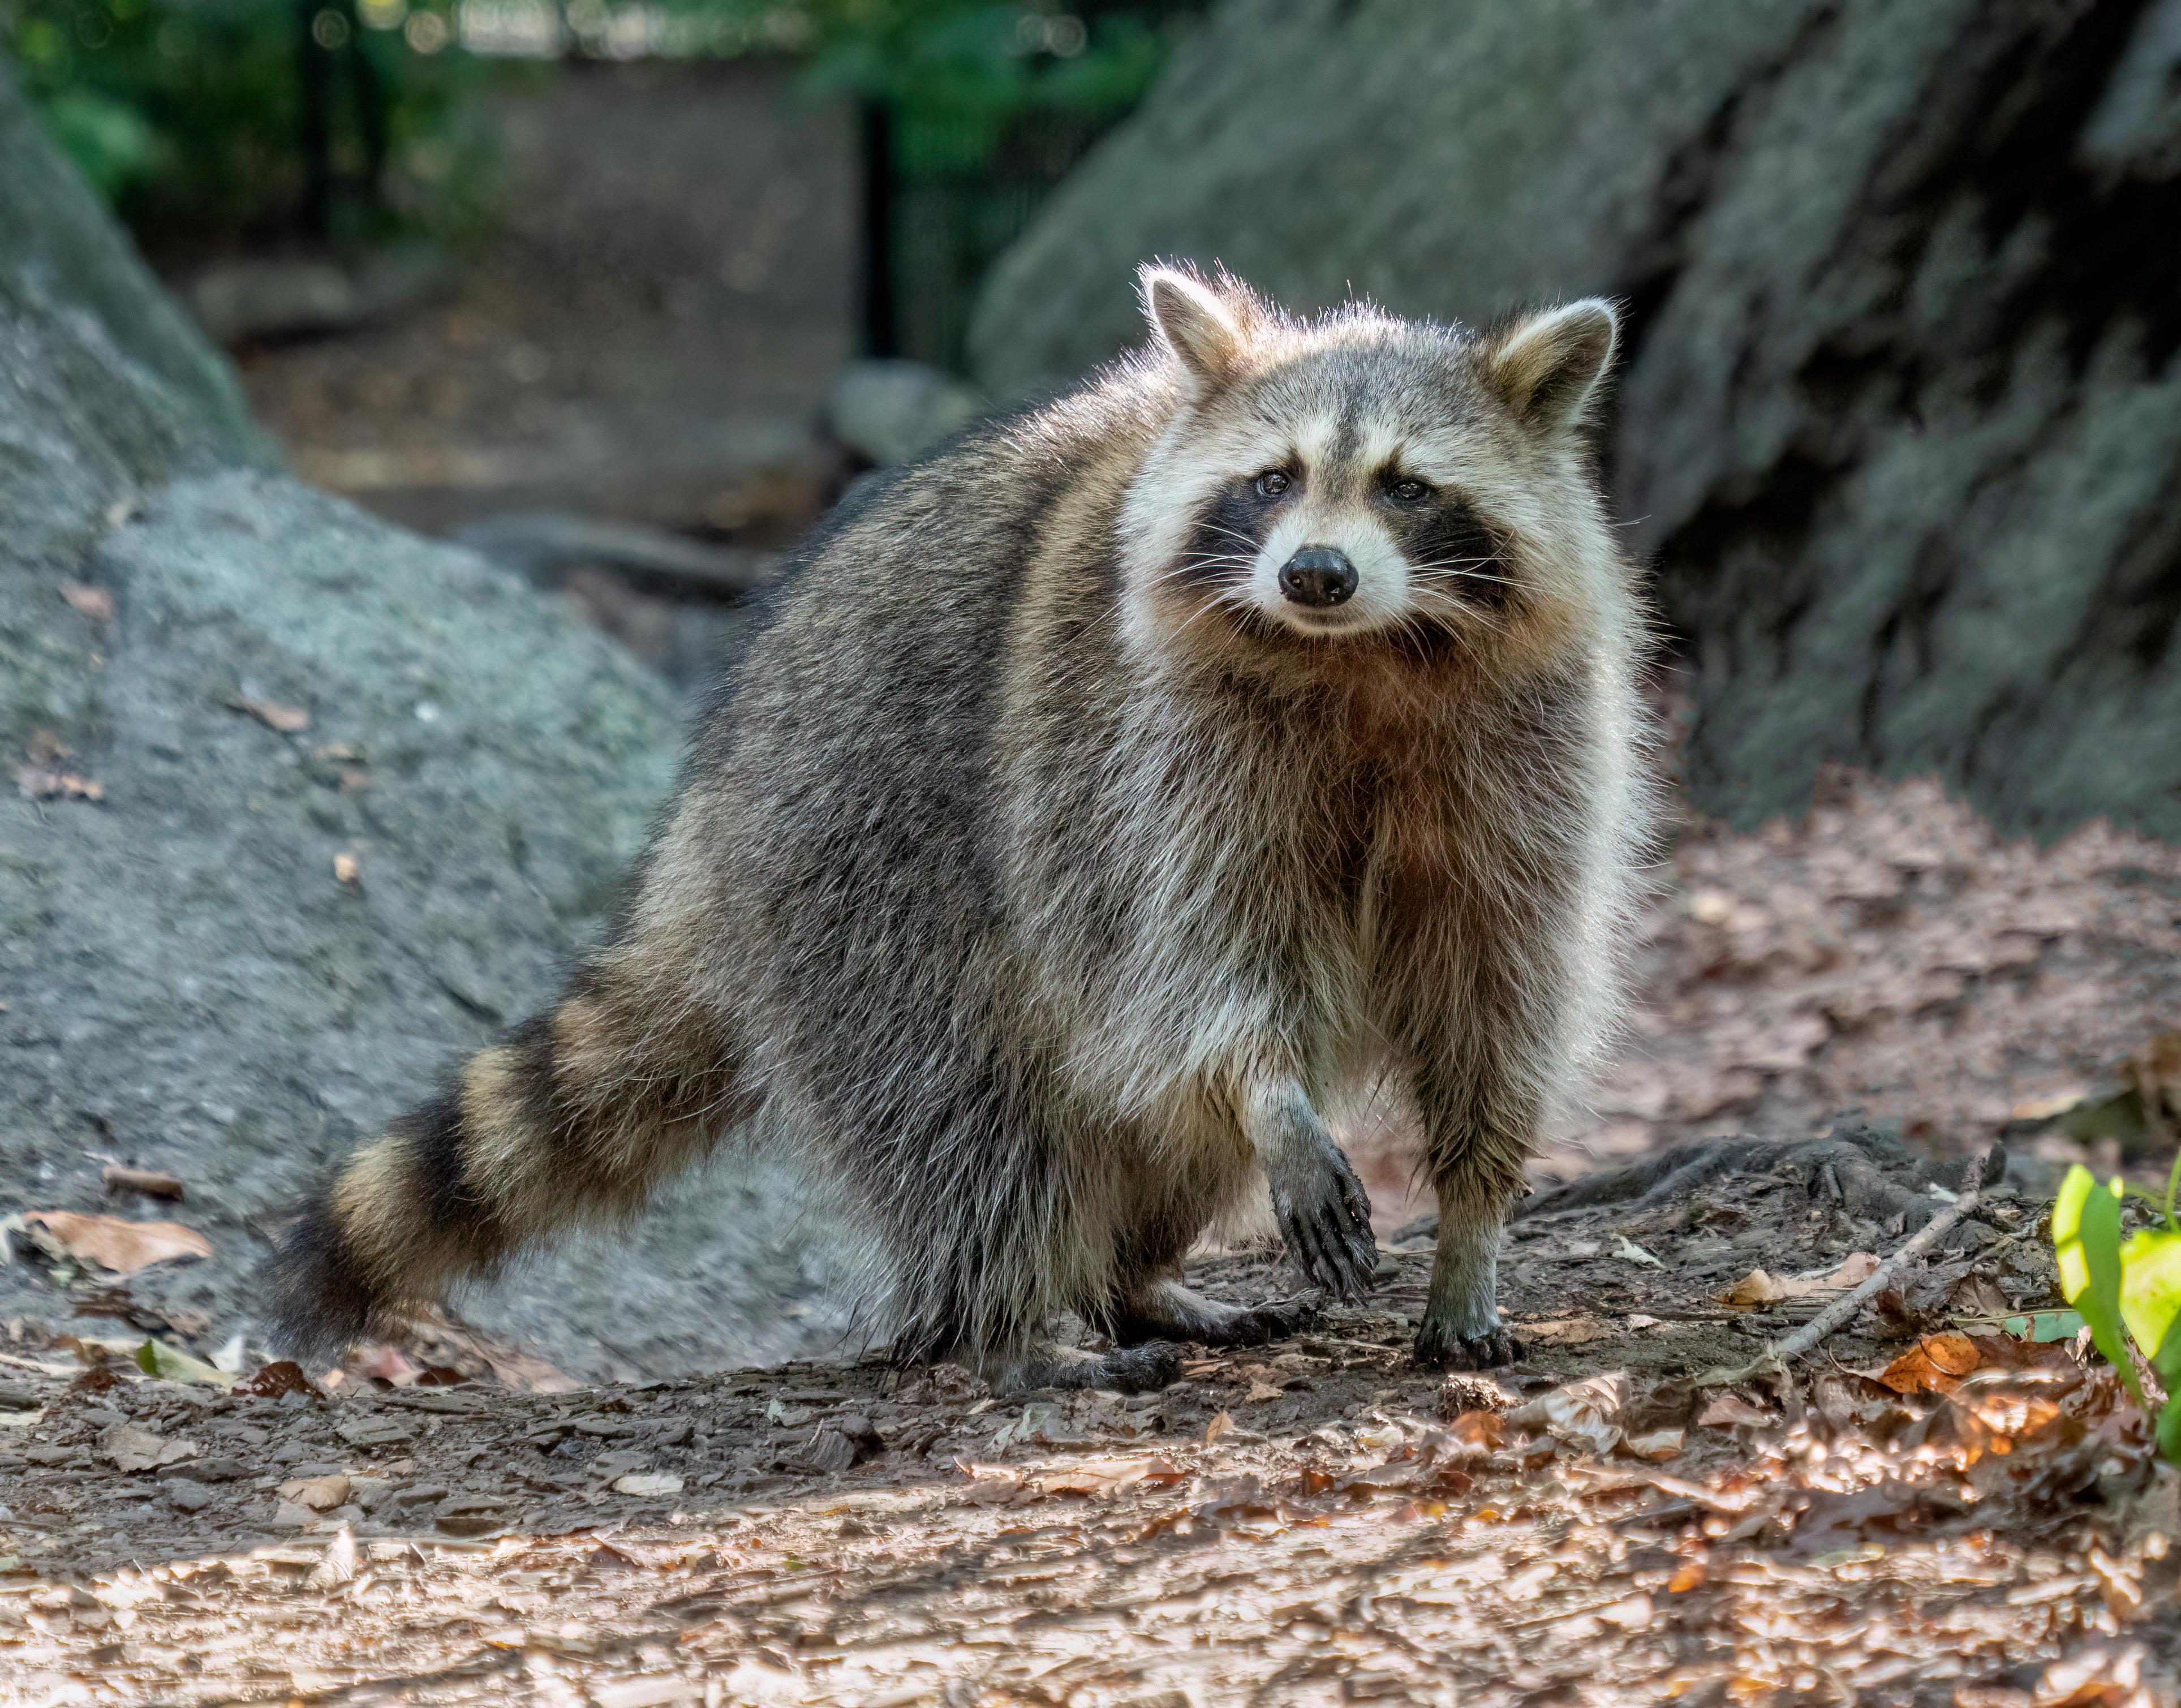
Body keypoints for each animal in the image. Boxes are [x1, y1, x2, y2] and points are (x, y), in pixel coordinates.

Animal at [272, 267, 1649, 1387]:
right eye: (1272, 481)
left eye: (1408, 487)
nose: (1315, 573)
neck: (1362, 656)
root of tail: (706, 820)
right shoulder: (1141, 756)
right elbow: (1197, 959)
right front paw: (1274, 1097)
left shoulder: (1527, 756)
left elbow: (1498, 984)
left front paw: (1473, 1218)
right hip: (859, 865)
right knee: (967, 1108)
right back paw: (1010, 1320)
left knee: (1147, 1128)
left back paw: (1133, 1277)